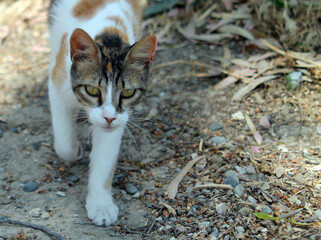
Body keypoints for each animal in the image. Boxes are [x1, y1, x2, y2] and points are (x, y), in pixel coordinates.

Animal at [47, 0, 156, 226]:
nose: (108, 117)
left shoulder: (120, 119)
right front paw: (76, 151)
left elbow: (105, 159)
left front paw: (100, 204)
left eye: (128, 92)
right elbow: (64, 145)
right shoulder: (57, 82)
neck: (108, 34)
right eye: (92, 90)